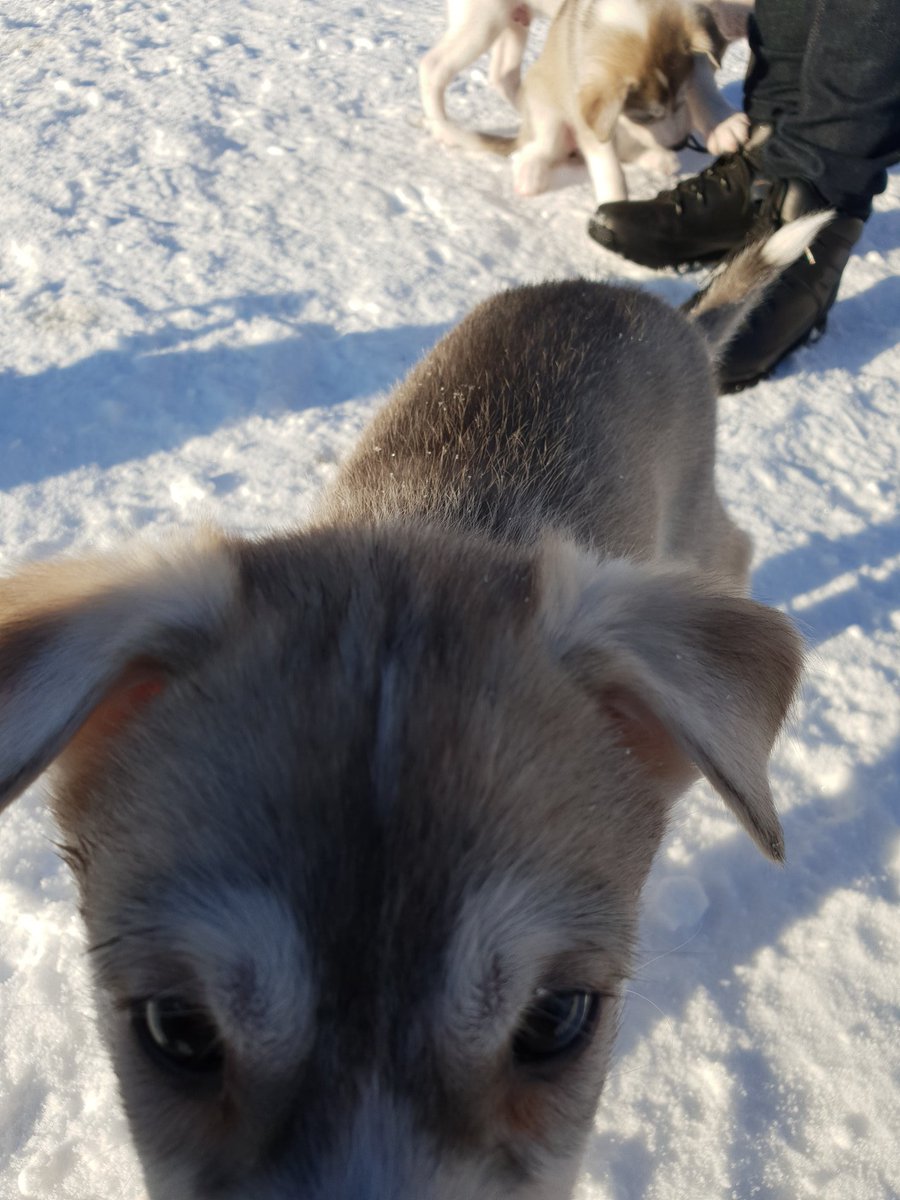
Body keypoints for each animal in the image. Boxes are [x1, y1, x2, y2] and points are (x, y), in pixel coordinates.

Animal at [0, 216, 830, 1200]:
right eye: (176, 1029)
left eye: (558, 1020)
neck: (424, 525)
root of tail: (649, 305)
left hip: (693, 516)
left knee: (735, 545)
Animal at [427, 0, 748, 202]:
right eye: (645, 115)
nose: (680, 143)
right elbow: (609, 168)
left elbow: (700, 75)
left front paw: (720, 121)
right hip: (482, 21)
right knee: (433, 67)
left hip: (513, 22)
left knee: (502, 75)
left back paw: (658, 158)